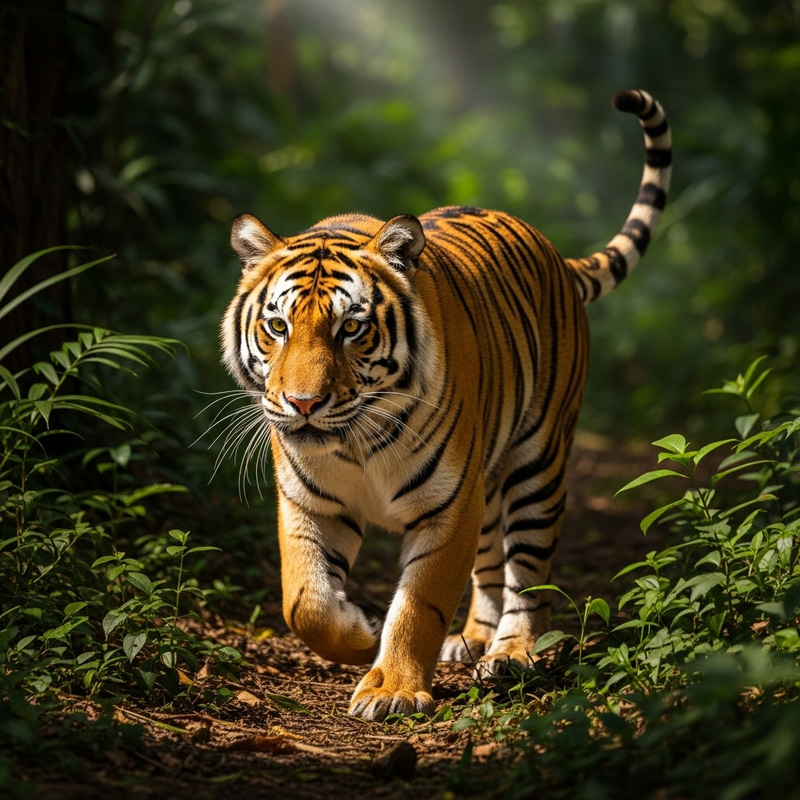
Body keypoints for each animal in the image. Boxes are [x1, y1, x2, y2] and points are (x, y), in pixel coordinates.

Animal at [221, 89, 671, 722]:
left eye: (351, 328)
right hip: (488, 476)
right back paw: (475, 639)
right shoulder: (310, 501)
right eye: (278, 326)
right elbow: (304, 601)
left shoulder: (448, 504)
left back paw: (511, 653)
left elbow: (419, 603)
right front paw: (358, 633)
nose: (303, 403)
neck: (354, 441)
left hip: (538, 462)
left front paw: (391, 688)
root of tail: (554, 252)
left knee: (528, 571)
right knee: (488, 565)